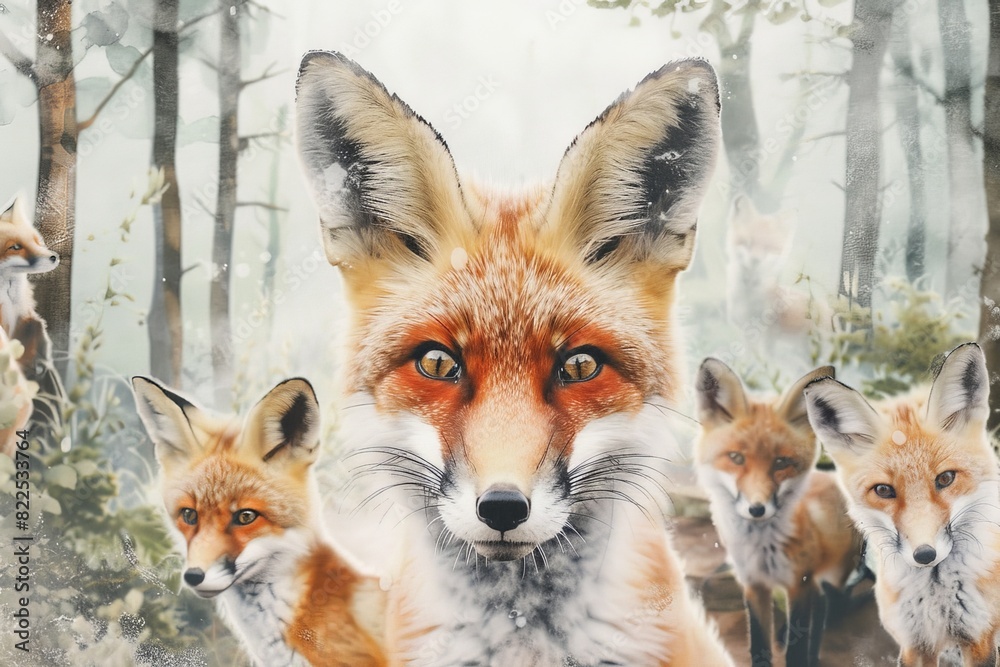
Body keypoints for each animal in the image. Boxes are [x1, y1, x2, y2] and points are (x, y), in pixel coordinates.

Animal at [695, 359, 861, 667]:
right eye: (736, 458)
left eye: (781, 463)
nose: (757, 509)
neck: (762, 550)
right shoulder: (753, 585)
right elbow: (759, 645)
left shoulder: (798, 585)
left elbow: (796, 648)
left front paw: (800, 654)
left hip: (831, 576)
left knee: (824, 610)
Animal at [803, 342, 1000, 667]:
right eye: (884, 490)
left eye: (945, 478)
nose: (925, 554)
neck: (936, 597)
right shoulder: (914, 644)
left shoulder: (979, 641)